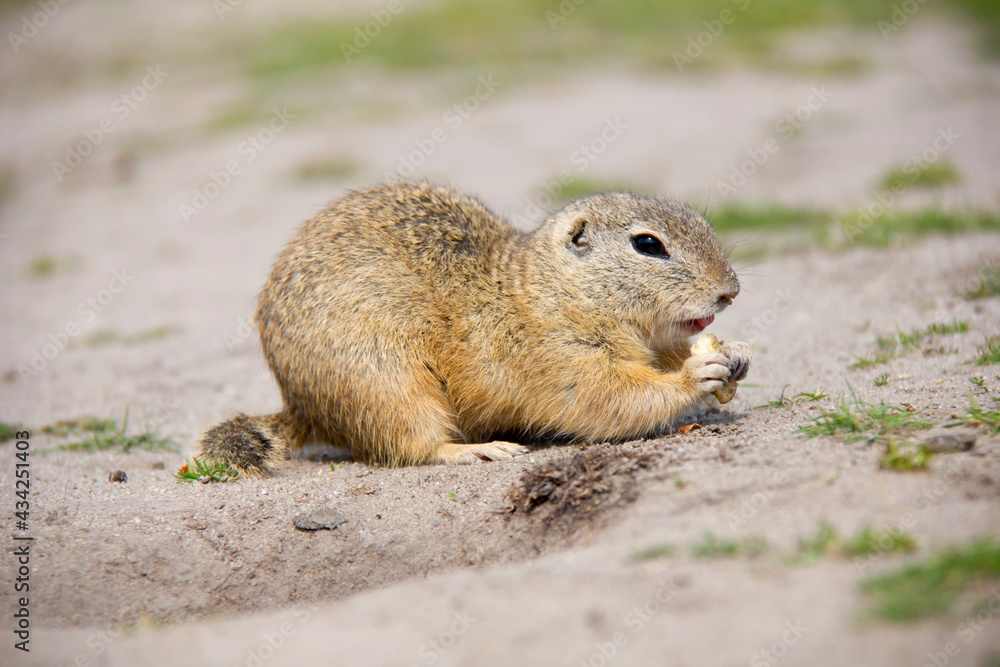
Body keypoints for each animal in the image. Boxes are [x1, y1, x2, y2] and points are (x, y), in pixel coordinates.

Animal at [194, 181, 751, 475]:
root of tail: (299, 406)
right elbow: (609, 398)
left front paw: (736, 353)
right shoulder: (560, 356)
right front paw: (695, 375)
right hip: (388, 385)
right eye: (648, 245)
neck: (550, 289)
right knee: (413, 447)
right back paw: (481, 448)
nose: (731, 290)